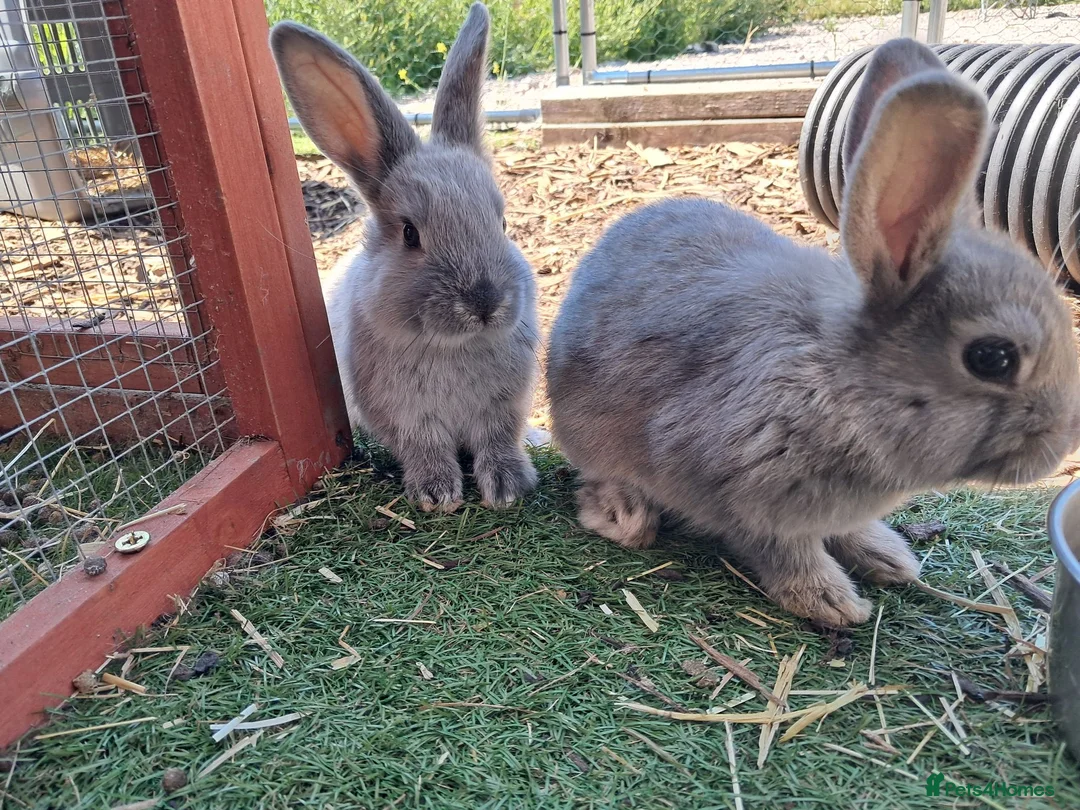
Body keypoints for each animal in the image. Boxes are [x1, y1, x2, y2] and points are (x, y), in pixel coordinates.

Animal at [271, 3, 539, 513]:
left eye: (502, 223)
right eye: (410, 234)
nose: (485, 304)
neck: (452, 347)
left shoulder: (502, 406)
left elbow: (498, 439)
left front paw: (508, 488)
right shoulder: (404, 415)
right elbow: (424, 446)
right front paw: (437, 495)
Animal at [546, 37, 1080, 627]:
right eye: (993, 358)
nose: (1061, 443)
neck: (841, 386)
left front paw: (889, 558)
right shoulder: (746, 499)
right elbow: (782, 551)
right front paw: (833, 602)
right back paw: (623, 514)